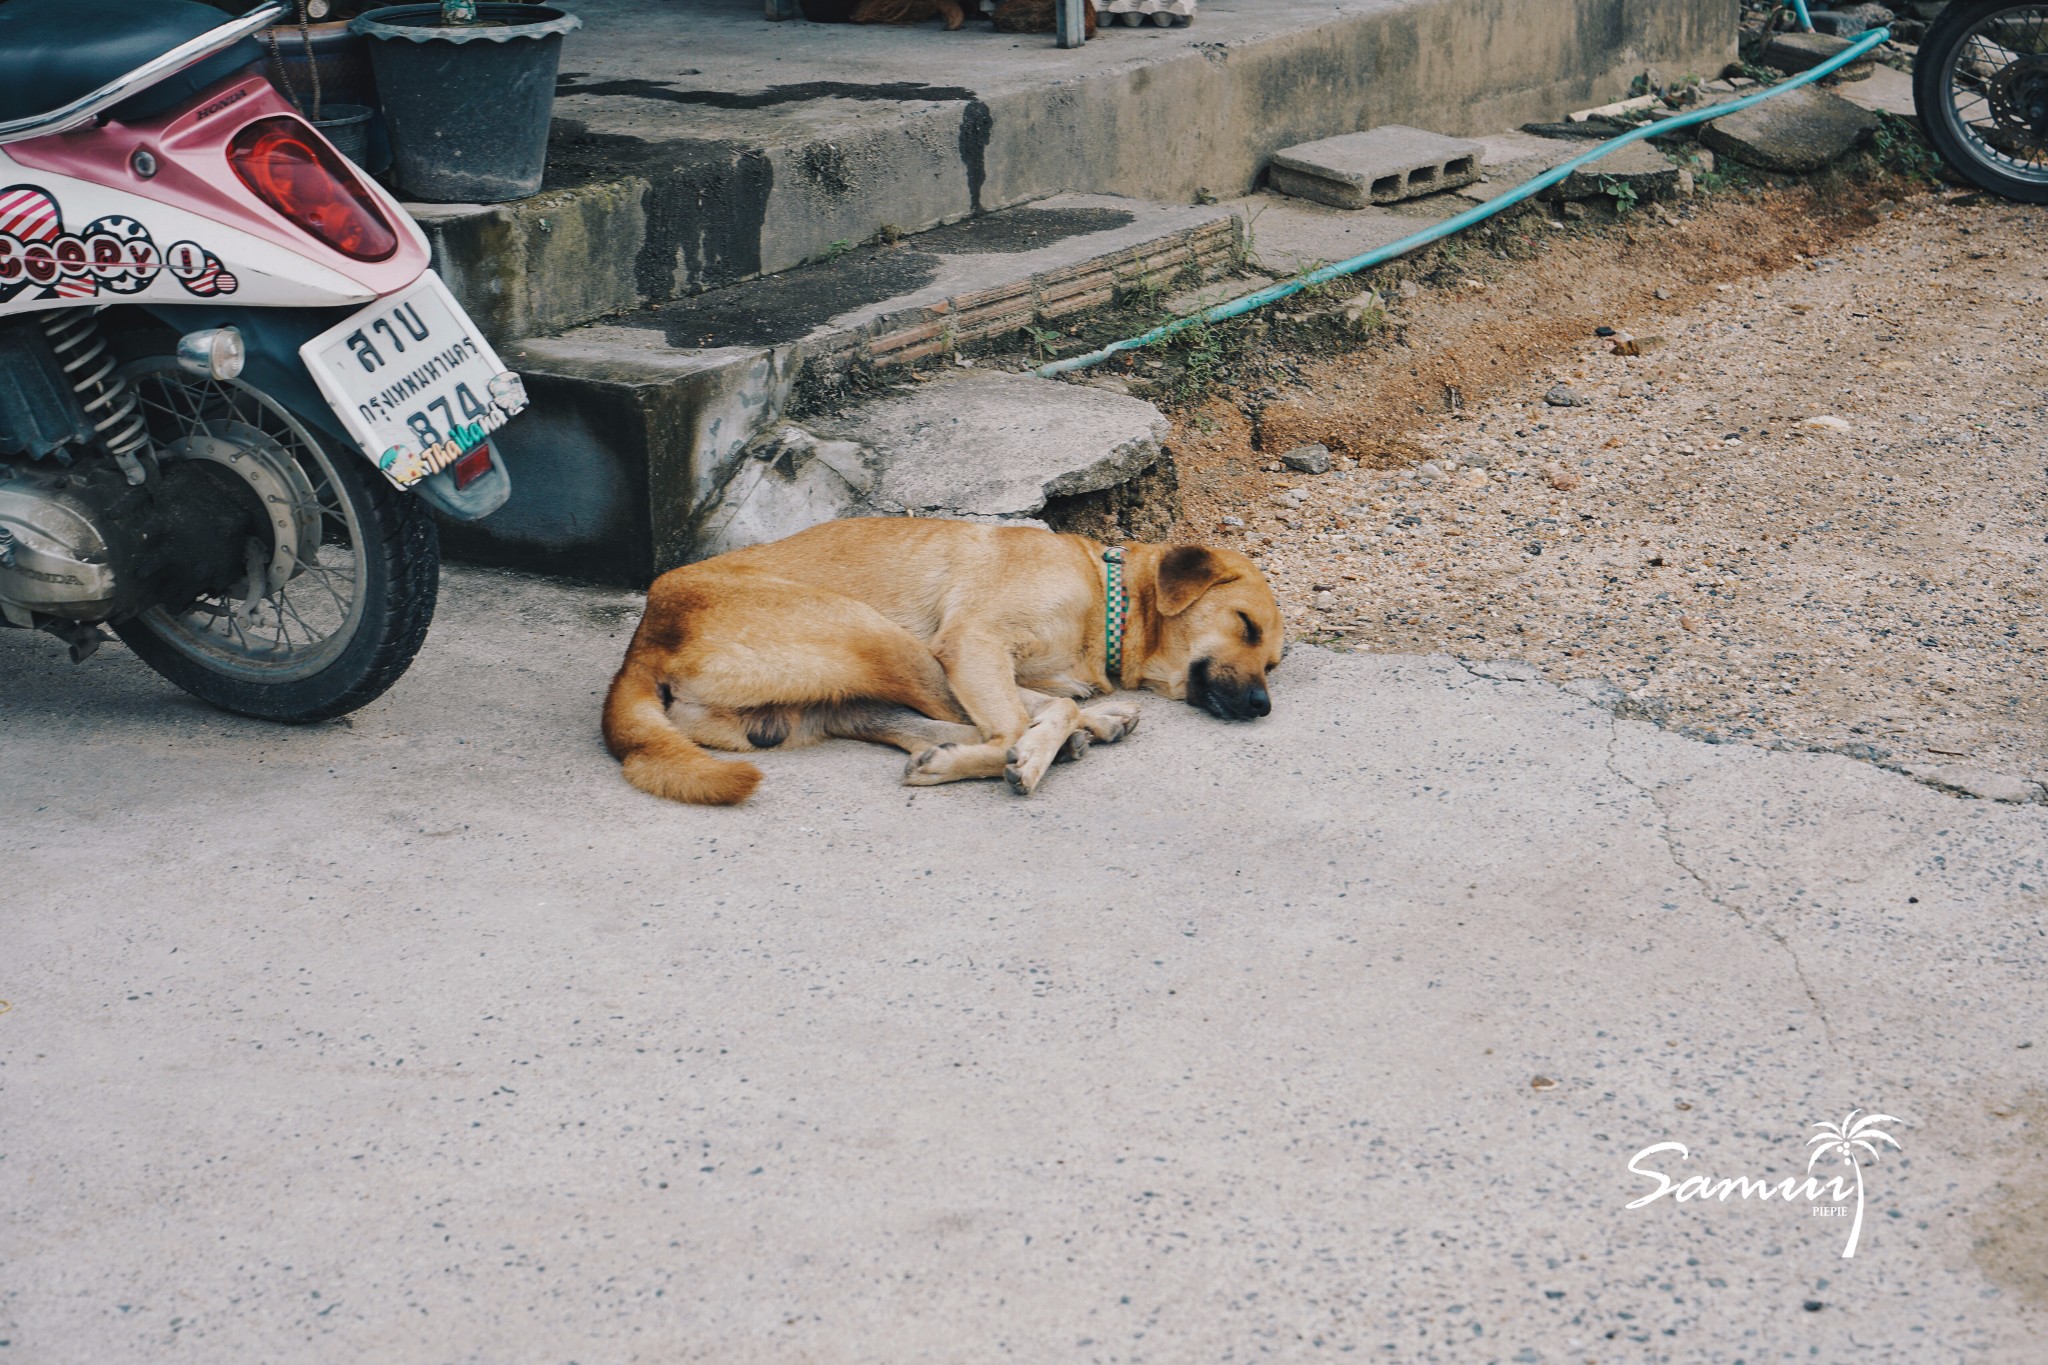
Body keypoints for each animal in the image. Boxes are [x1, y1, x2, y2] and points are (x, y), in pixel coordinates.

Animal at [598, 517, 1286, 806]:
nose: (1262, 706)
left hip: (843, 686)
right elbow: (1025, 719)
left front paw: (1075, 723)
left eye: (1274, 664)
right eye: (1245, 624)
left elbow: (1049, 702)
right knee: (979, 730)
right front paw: (1034, 754)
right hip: (878, 634)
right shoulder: (969, 644)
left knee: (914, 724)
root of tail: (643, 642)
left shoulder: (994, 665)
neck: (1105, 598)